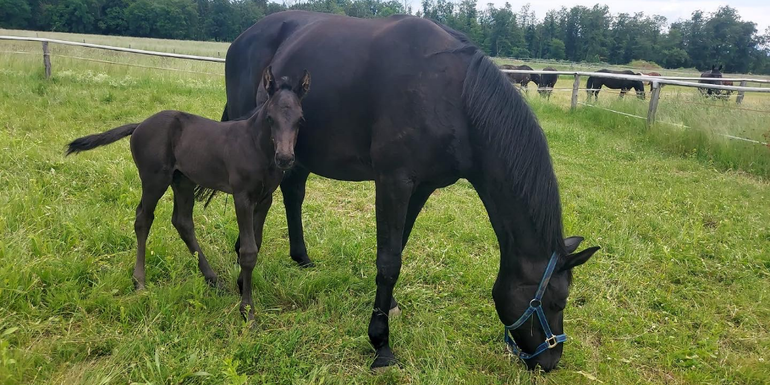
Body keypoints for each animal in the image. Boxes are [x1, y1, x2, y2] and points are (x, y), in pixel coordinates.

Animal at [67, 68, 310, 320]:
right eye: (270, 118)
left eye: (300, 119)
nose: (285, 158)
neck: (256, 146)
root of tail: (140, 124)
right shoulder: (242, 197)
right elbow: (248, 250)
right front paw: (247, 310)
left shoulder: (265, 199)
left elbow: (255, 243)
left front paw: (242, 285)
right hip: (154, 179)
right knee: (143, 218)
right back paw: (140, 281)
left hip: (182, 180)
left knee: (182, 221)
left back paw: (212, 280)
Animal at [219, 10, 596, 372]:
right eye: (557, 301)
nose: (551, 362)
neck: (452, 95)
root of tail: (243, 37)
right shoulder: (393, 182)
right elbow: (389, 261)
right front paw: (381, 344)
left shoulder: (422, 186)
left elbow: (398, 247)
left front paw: (390, 306)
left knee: (293, 193)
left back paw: (301, 257)